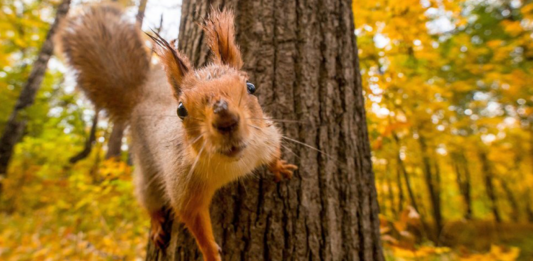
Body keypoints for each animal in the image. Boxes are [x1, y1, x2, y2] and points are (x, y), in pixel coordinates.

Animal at [58, 3, 300, 258]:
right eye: (181, 110)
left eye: (251, 87)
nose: (226, 121)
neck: (233, 164)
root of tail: (137, 98)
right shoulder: (183, 183)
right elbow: (193, 220)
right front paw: (211, 253)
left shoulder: (265, 136)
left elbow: (274, 151)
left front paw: (280, 167)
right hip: (147, 169)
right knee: (149, 198)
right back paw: (156, 224)